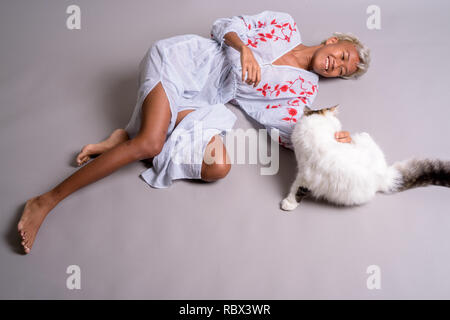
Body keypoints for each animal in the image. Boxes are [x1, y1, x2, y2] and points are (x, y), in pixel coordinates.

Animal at [282, 105, 450, 210]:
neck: (317, 127)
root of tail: (385, 177)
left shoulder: (303, 173)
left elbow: (295, 189)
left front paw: (288, 204)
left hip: (362, 136)